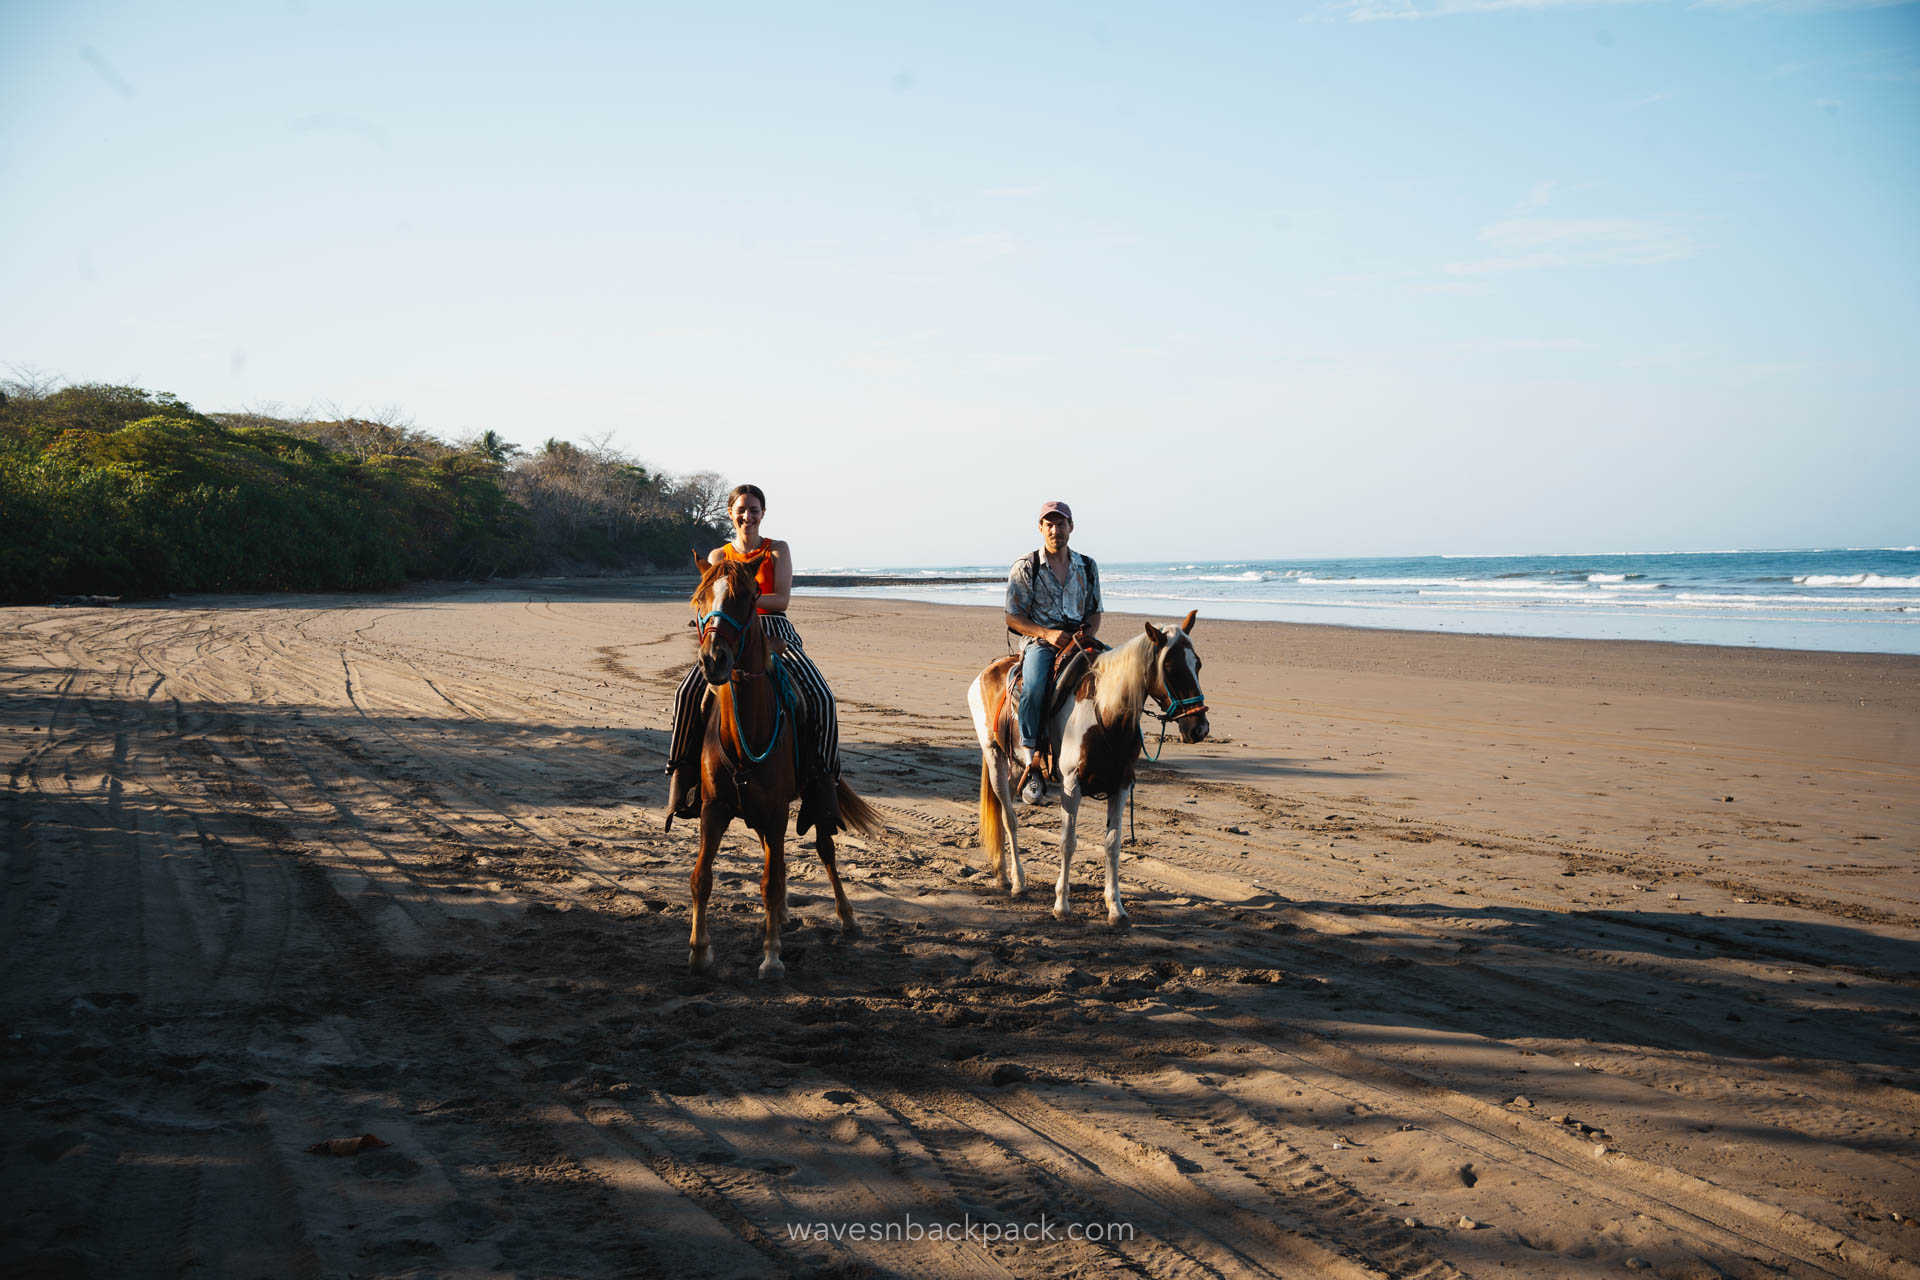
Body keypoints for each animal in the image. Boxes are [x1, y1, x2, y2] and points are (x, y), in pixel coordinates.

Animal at [683, 552, 879, 982]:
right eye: (699, 599)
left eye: (746, 596)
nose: (713, 660)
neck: (746, 732)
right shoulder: (714, 808)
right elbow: (702, 876)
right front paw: (700, 952)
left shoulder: (775, 811)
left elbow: (769, 883)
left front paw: (772, 957)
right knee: (775, 857)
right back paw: (783, 916)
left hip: (813, 800)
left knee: (824, 850)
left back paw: (846, 917)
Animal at [967, 614, 1205, 924]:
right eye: (1171, 668)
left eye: (1197, 664)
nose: (1199, 728)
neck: (1105, 713)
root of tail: (988, 671)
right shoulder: (1071, 785)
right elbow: (1068, 842)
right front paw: (1061, 905)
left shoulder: (1121, 786)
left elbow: (1113, 844)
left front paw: (1116, 908)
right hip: (993, 755)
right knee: (1010, 819)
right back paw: (1017, 883)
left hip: (1017, 766)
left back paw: (1002, 874)